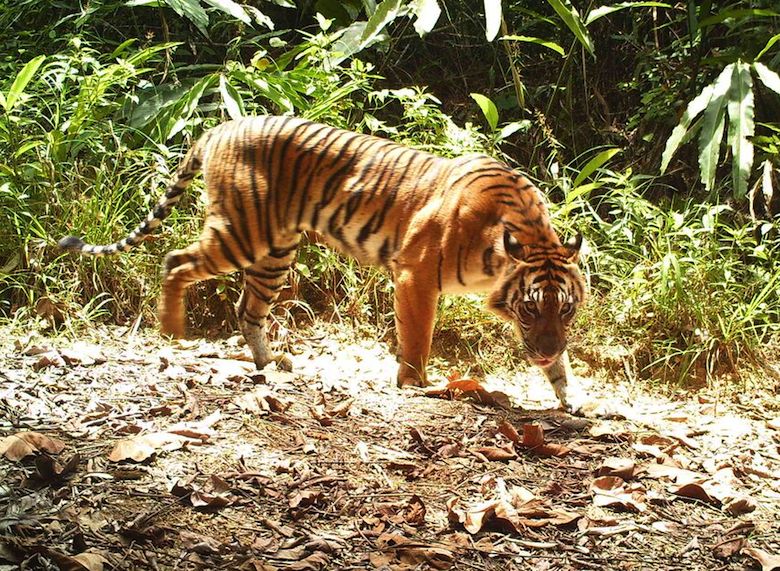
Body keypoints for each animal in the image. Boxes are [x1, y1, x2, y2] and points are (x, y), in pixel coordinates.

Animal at [59, 115, 612, 417]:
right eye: (529, 308)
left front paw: (573, 398)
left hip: (275, 252)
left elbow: (562, 368)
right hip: (241, 233)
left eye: (565, 310)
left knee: (247, 309)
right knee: (175, 261)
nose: (545, 348)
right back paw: (174, 333)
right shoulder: (414, 275)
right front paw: (417, 385)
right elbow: (417, 337)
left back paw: (271, 366)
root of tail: (221, 126)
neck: (523, 237)